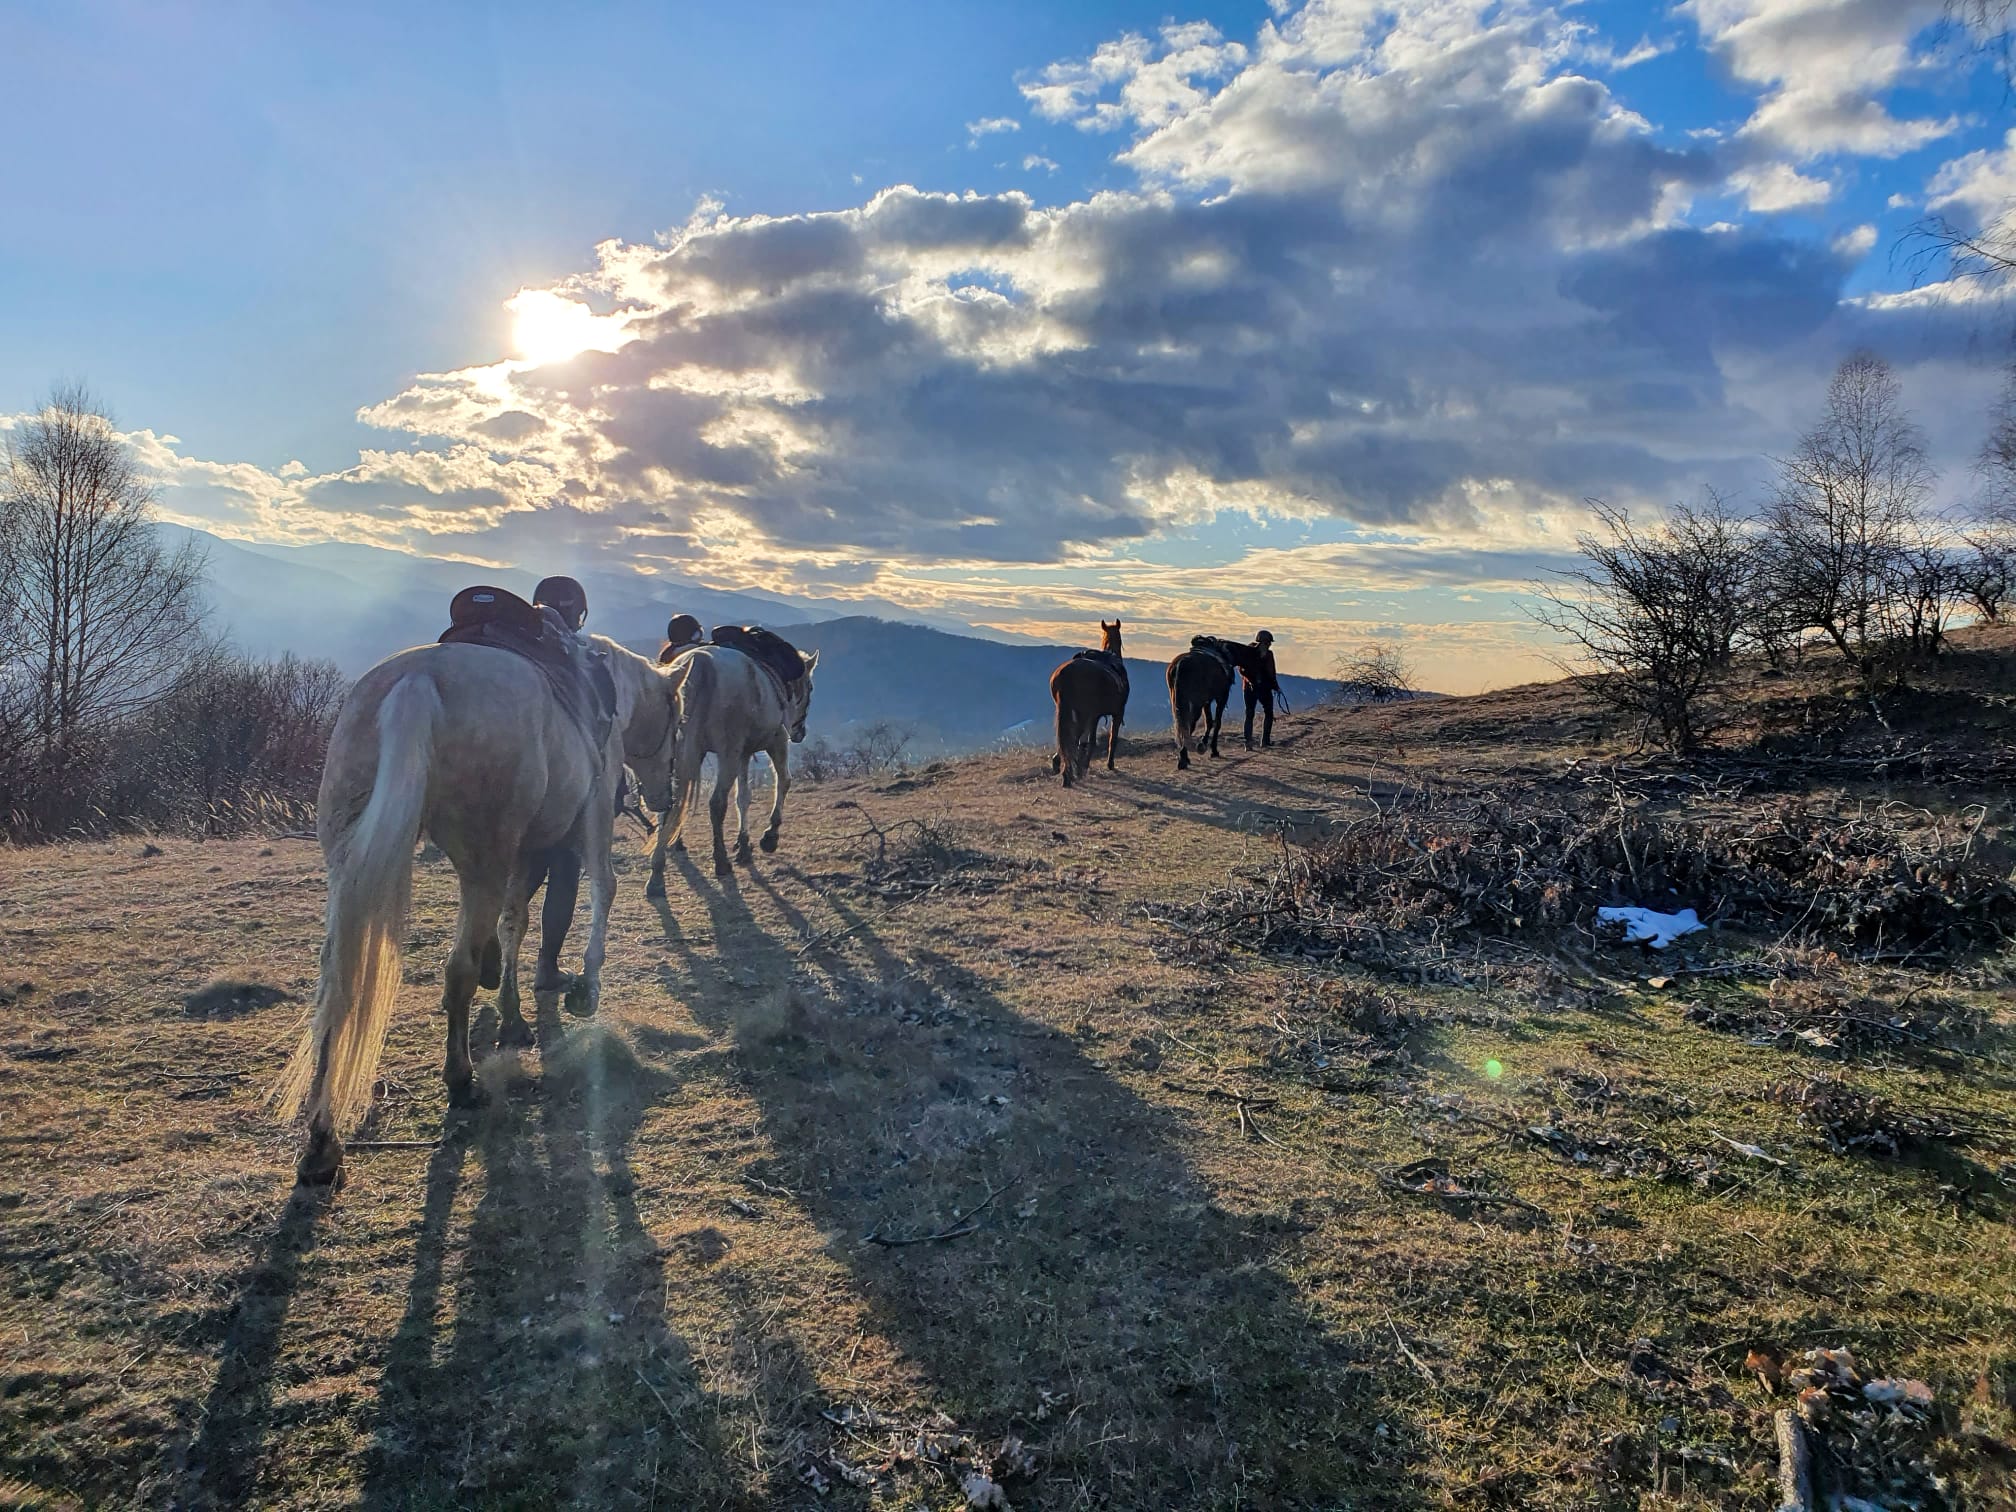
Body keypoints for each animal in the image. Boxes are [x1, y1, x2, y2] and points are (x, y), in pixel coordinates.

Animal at [276, 636, 681, 1185]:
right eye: (676, 719)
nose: (666, 794)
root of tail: (419, 678)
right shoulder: (590, 819)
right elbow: (602, 887)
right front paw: (583, 989)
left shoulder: (526, 850)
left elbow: (514, 923)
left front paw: (512, 1013)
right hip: (482, 860)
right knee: (458, 968)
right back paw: (461, 1080)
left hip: (350, 858)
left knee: (338, 981)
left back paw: (322, 1140)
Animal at [646, 641, 818, 888]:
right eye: (810, 688)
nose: (800, 733)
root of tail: (700, 662)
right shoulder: (776, 741)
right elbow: (784, 781)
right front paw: (770, 836)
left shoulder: (743, 754)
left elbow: (743, 798)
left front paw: (743, 845)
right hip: (728, 752)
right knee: (717, 803)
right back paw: (721, 861)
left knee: (670, 805)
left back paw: (657, 872)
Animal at [1049, 619, 1128, 787]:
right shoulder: (1113, 713)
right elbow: (1110, 739)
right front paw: (1106, 764)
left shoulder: (1091, 715)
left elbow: (1085, 741)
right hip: (1084, 714)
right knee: (1074, 738)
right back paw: (1070, 773)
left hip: (1069, 712)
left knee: (1068, 739)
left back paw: (1063, 767)